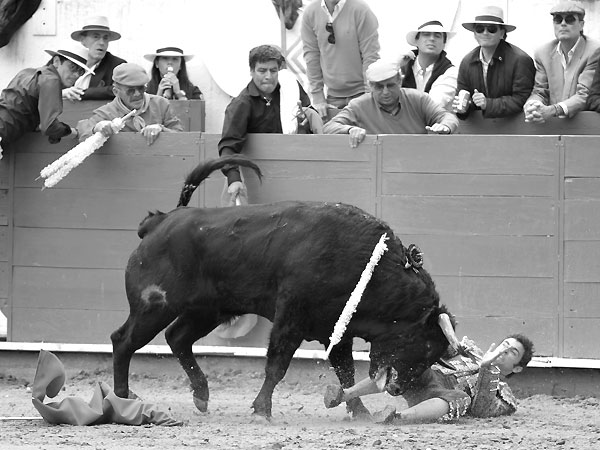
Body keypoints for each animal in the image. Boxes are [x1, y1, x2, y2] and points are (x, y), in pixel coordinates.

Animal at [111, 155, 456, 419]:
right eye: (422, 346)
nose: (398, 390)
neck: (366, 268)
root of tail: (160, 221)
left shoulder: (336, 329)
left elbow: (345, 372)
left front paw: (360, 412)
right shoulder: (291, 316)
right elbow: (277, 364)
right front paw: (262, 410)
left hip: (207, 310)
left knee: (177, 338)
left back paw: (201, 395)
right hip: (155, 306)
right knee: (123, 341)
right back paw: (123, 397)